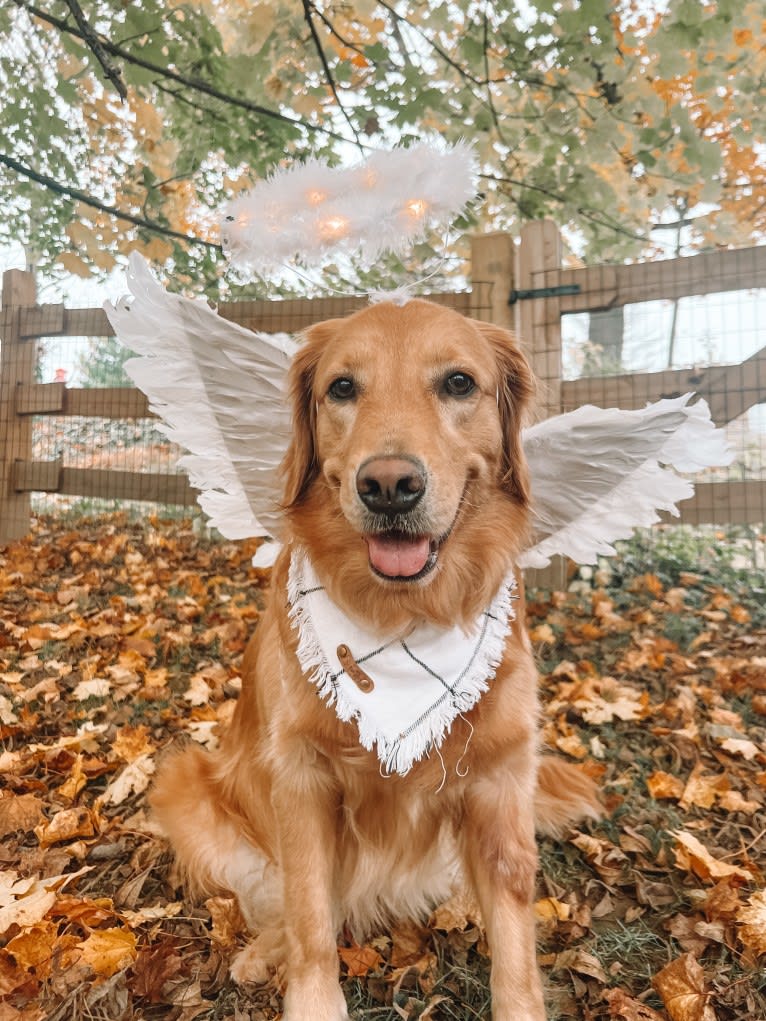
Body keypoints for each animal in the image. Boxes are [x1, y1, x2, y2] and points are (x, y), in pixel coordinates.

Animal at [153, 298, 604, 1021]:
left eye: (458, 383)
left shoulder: (499, 782)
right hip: (189, 784)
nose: (389, 486)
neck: (403, 621)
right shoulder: (301, 777)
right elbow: (310, 914)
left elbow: (515, 949)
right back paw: (263, 950)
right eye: (341, 387)